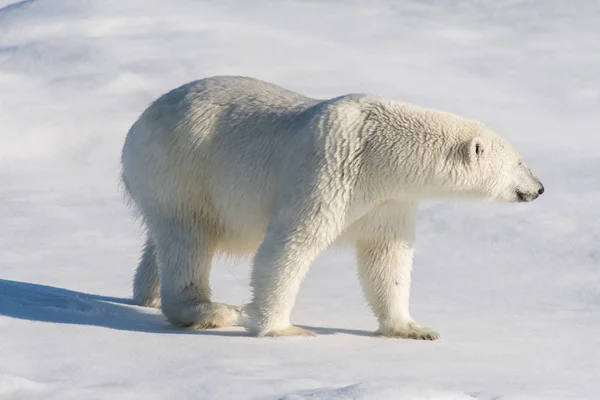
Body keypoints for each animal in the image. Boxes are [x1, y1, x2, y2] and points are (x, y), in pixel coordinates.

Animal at [120, 74, 544, 338]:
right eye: (520, 162)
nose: (539, 188)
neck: (380, 152)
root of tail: (138, 124)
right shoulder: (330, 167)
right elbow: (291, 243)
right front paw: (283, 328)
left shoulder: (388, 200)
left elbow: (387, 256)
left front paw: (414, 329)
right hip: (183, 168)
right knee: (188, 239)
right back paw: (209, 310)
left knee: (162, 242)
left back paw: (147, 295)